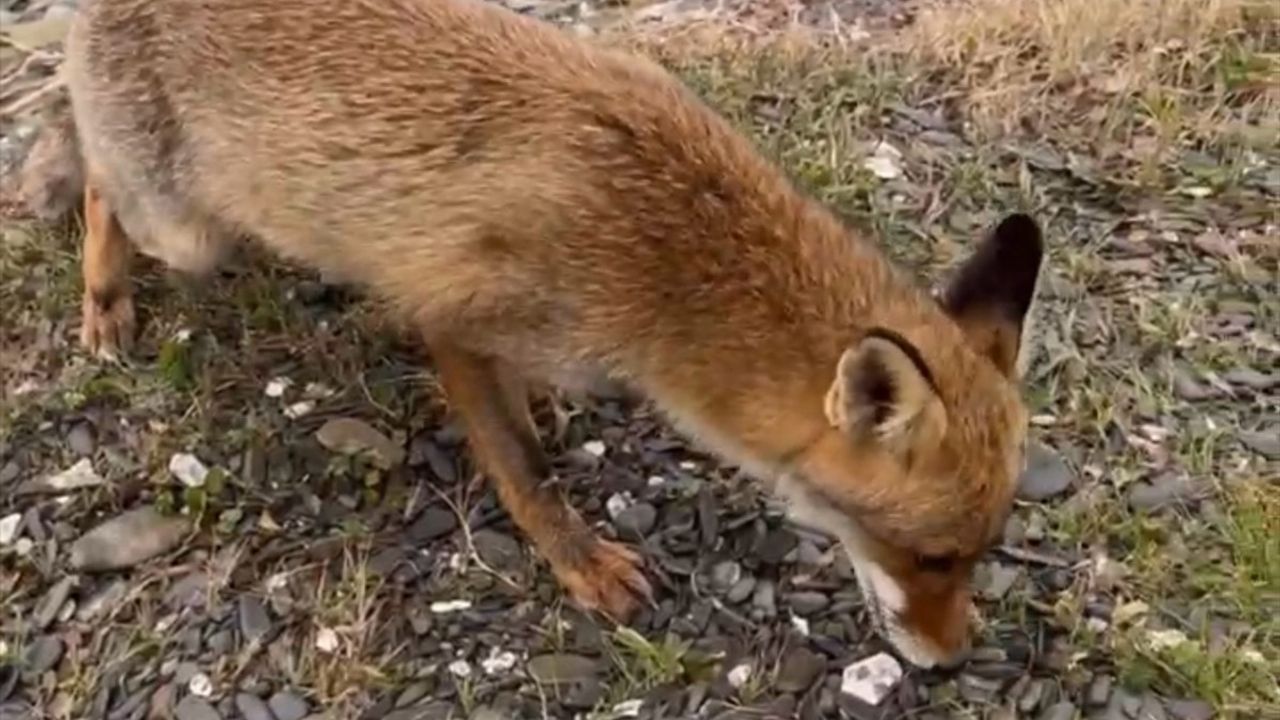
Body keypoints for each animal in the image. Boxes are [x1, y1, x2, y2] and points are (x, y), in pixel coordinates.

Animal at [17, 0, 1039, 666]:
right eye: (932, 558)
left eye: (977, 557)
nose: (953, 662)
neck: (670, 255)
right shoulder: (451, 317)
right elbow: (524, 472)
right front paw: (579, 562)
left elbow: (527, 408)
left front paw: (544, 404)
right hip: (185, 232)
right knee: (98, 178)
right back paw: (102, 295)